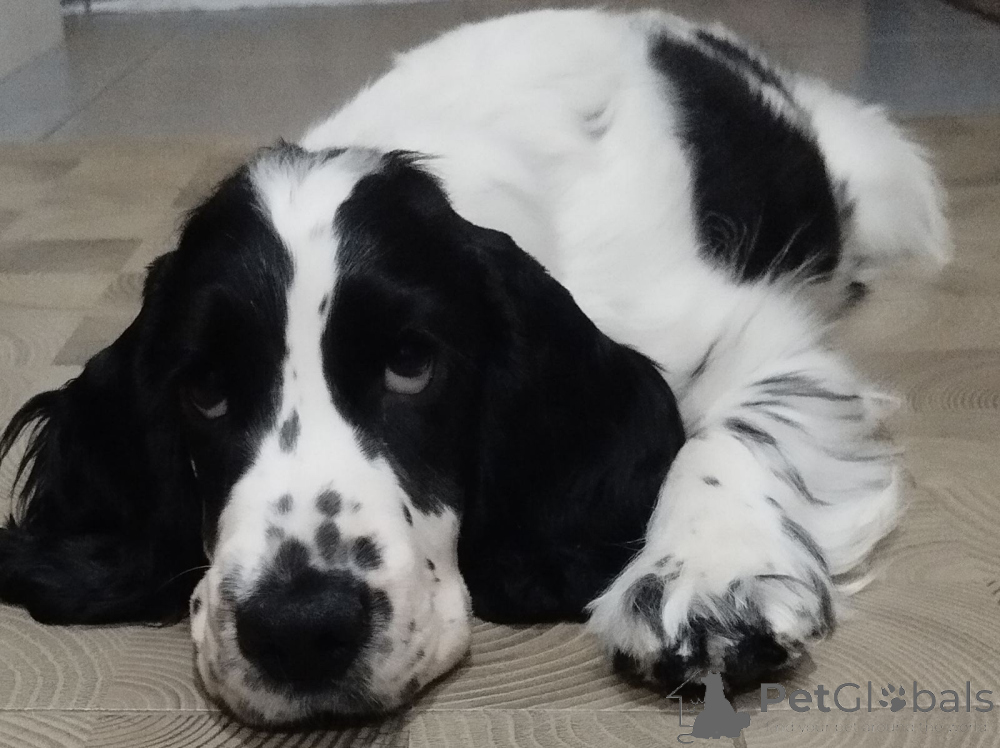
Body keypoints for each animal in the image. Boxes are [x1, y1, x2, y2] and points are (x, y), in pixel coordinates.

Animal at [0, 8, 948, 726]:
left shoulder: (749, 330)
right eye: (203, 391)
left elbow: (734, 433)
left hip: (883, 183)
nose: (300, 629)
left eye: (412, 365)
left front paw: (709, 581)